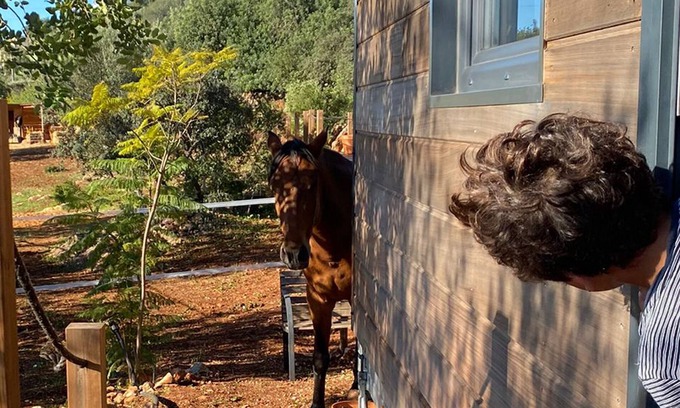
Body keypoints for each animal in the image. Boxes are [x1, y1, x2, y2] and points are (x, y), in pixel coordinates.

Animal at [267, 130, 355, 408]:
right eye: (275, 183)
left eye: (312, 182)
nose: (294, 254)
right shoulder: (317, 299)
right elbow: (319, 357)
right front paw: (317, 403)